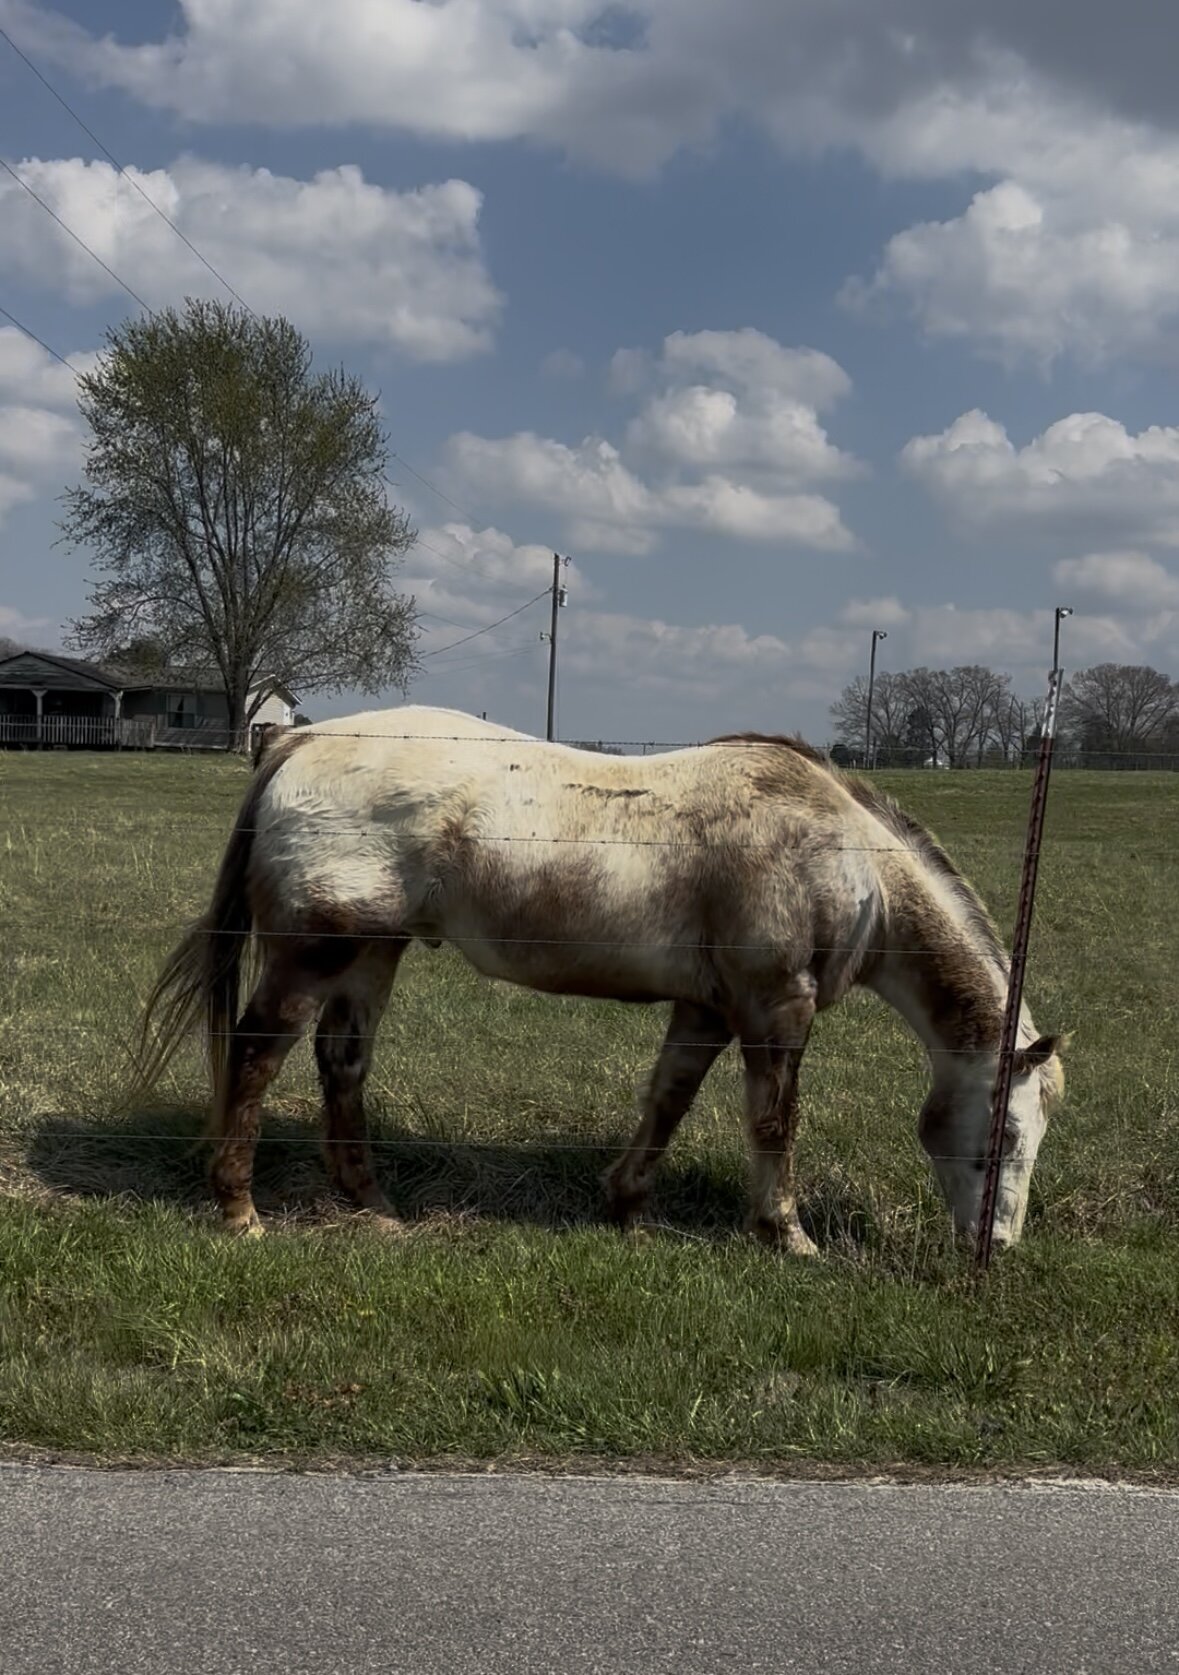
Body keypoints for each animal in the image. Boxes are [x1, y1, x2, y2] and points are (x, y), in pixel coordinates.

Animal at [131, 704, 1064, 1252]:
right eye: (1007, 1136)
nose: (995, 1248)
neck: (843, 855)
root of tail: (300, 738)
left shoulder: (705, 1009)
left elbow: (668, 1101)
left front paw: (625, 1205)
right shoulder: (776, 1007)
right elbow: (774, 1121)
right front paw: (785, 1233)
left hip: (373, 952)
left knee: (341, 1063)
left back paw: (372, 1203)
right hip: (313, 952)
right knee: (257, 1054)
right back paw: (240, 1209)